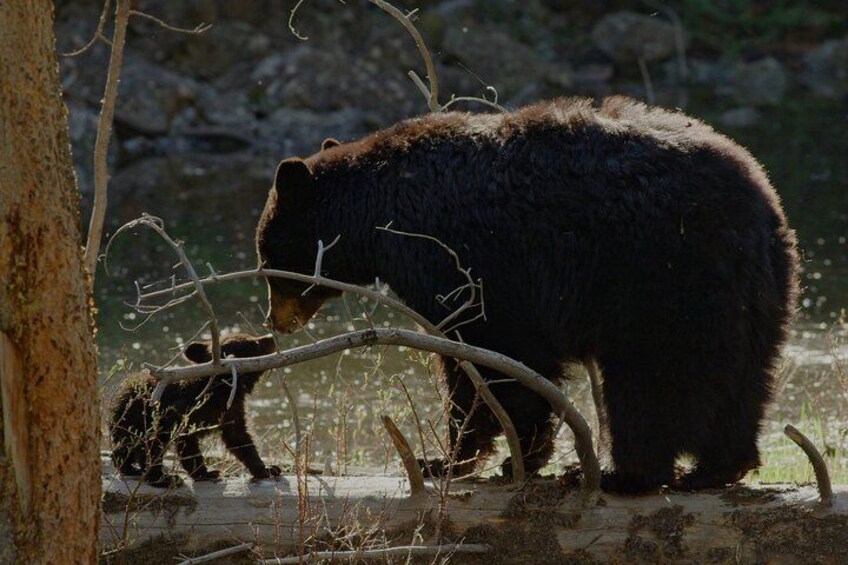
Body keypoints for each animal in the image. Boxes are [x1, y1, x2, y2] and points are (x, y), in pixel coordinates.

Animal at [110, 333, 281, 487]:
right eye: (255, 343)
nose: (270, 337)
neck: (220, 391)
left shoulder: (231, 410)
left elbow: (239, 438)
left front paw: (267, 469)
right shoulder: (181, 408)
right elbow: (180, 440)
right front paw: (200, 473)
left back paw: (129, 467)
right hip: (135, 417)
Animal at [255, 97, 799, 494]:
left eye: (266, 260)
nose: (275, 321)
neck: (380, 214)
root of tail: (763, 207)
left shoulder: (465, 259)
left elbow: (490, 356)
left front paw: (452, 458)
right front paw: (507, 456)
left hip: (663, 280)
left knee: (652, 381)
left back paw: (623, 474)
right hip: (757, 297)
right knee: (743, 379)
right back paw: (717, 468)